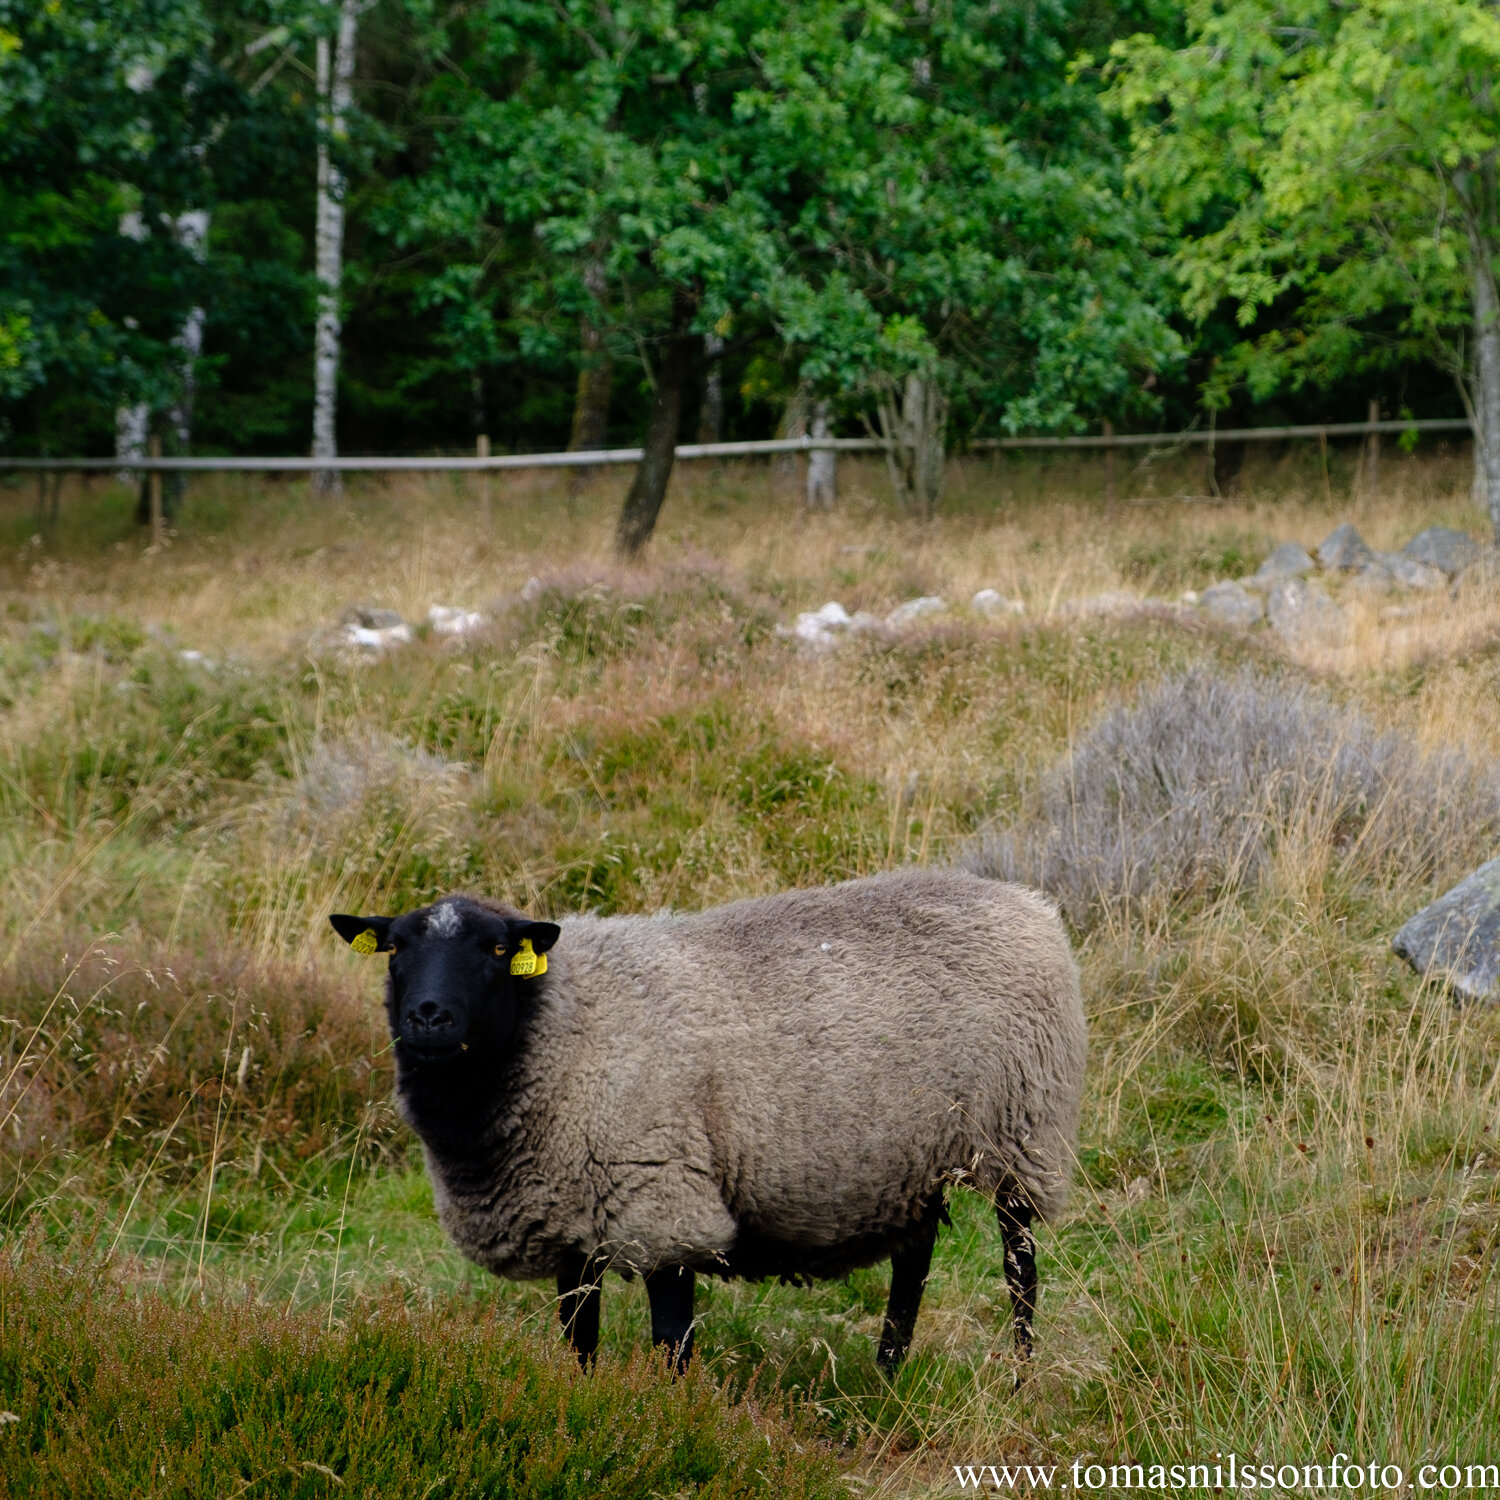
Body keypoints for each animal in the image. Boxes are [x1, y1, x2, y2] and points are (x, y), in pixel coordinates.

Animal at [331, 870, 1080, 1374]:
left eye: (493, 951)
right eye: (395, 949)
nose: (429, 1017)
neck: (560, 1029)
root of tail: (1027, 900)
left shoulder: (663, 1206)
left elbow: (671, 1344)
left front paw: (673, 1421)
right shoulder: (570, 1225)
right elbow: (579, 1342)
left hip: (1022, 1131)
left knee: (1020, 1268)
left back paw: (1020, 1376)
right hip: (907, 1158)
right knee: (913, 1264)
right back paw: (887, 1374)